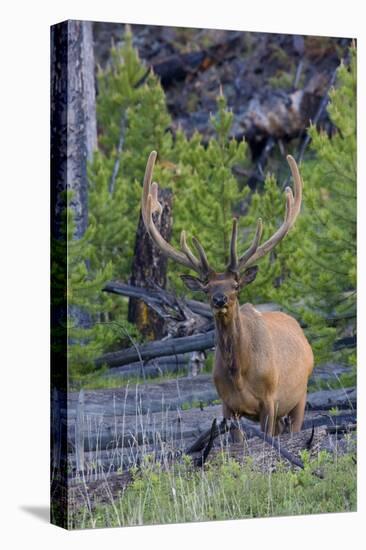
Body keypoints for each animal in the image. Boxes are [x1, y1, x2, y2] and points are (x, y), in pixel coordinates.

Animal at [142, 151, 314, 436]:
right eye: (206, 288)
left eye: (235, 286)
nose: (219, 299)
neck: (240, 372)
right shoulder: (228, 405)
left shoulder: (270, 400)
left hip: (299, 397)